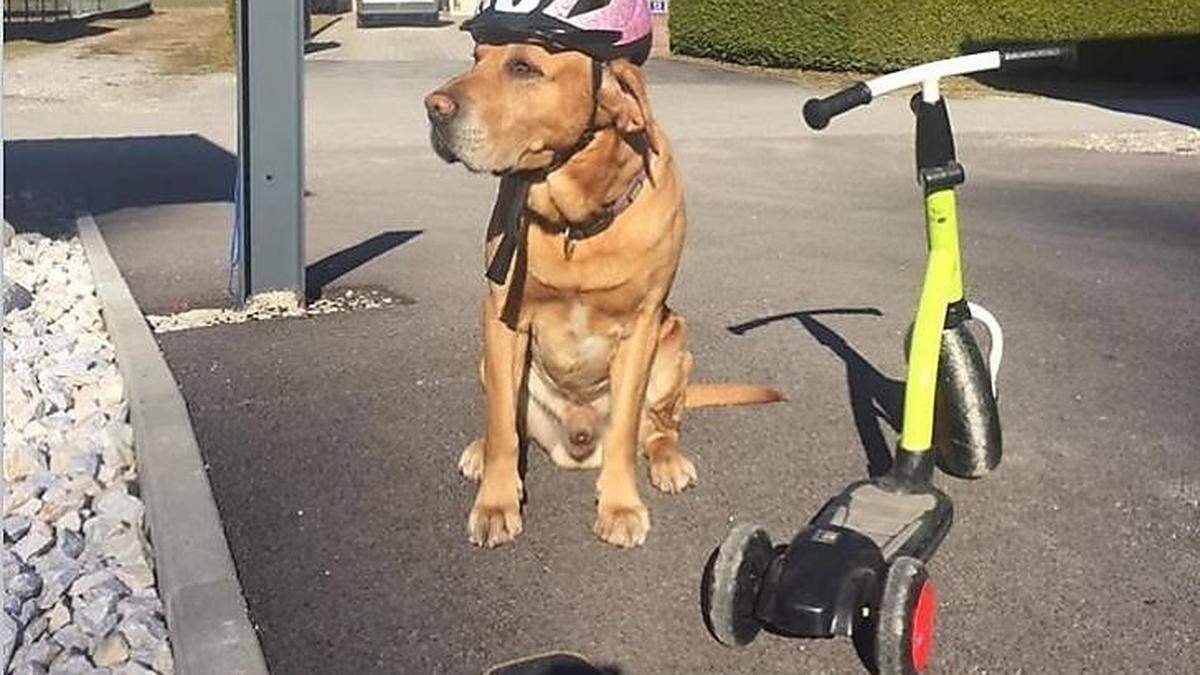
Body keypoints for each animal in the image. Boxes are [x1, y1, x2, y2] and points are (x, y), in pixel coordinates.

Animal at [427, 43, 782, 547]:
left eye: (523, 67)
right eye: (477, 57)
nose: (432, 107)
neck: (574, 220)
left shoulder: (641, 326)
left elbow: (624, 431)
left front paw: (621, 506)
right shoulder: (501, 317)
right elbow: (501, 424)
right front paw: (495, 503)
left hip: (674, 345)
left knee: (659, 429)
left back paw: (669, 462)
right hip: (488, 359)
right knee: (509, 422)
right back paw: (480, 450)